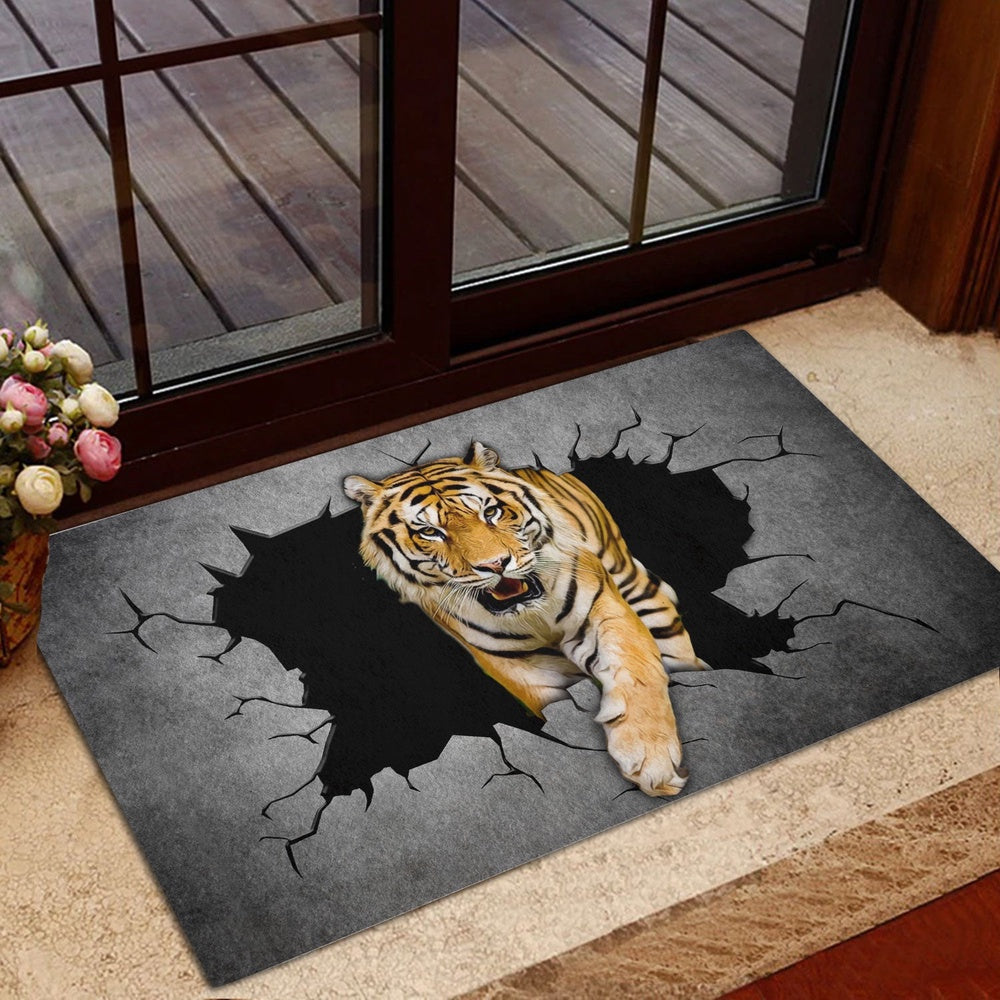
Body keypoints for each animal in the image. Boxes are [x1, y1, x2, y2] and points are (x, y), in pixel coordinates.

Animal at [343, 441, 709, 797]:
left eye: (490, 512)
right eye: (431, 532)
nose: (495, 564)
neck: (533, 614)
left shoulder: (601, 610)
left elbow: (635, 673)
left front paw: (652, 760)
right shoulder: (521, 665)